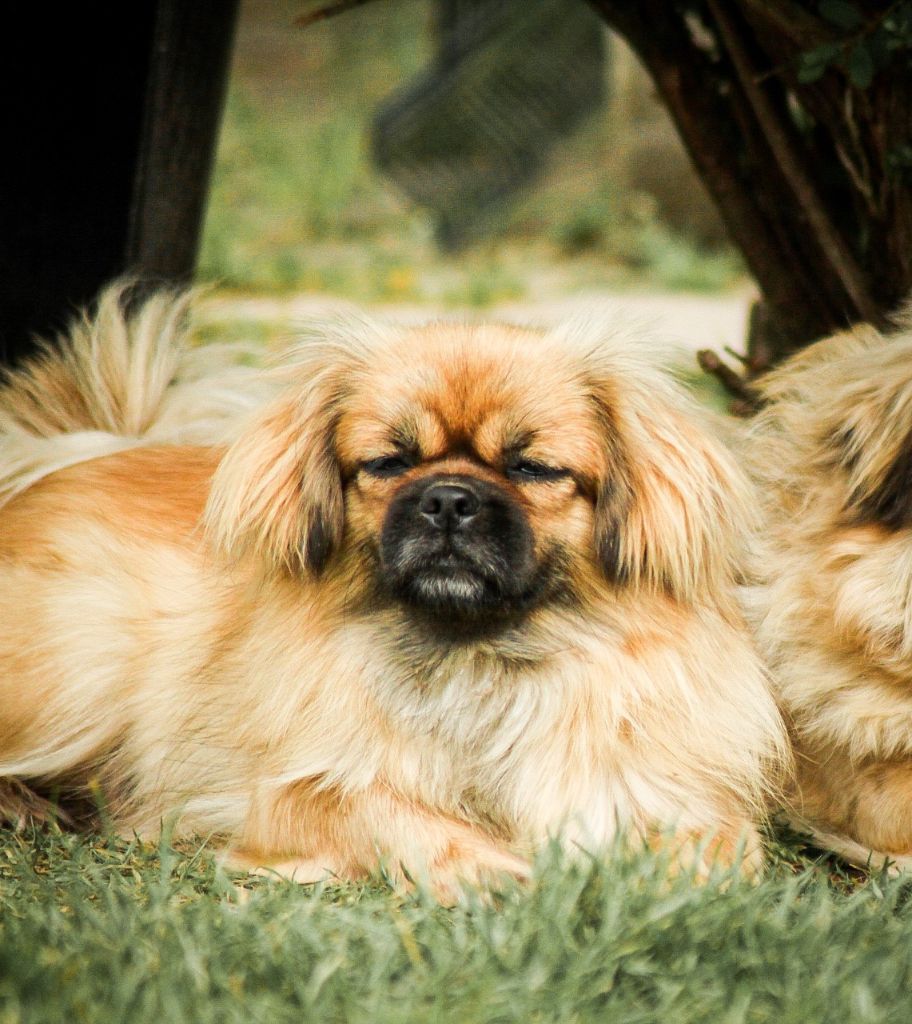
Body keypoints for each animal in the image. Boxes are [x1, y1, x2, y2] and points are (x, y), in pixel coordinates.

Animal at [0, 284, 786, 892]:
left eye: (531, 469)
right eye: (389, 463)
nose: (448, 499)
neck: (478, 663)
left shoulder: (669, 787)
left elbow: (719, 842)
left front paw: (666, 882)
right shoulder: (295, 792)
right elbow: (395, 815)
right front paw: (490, 873)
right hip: (79, 669)